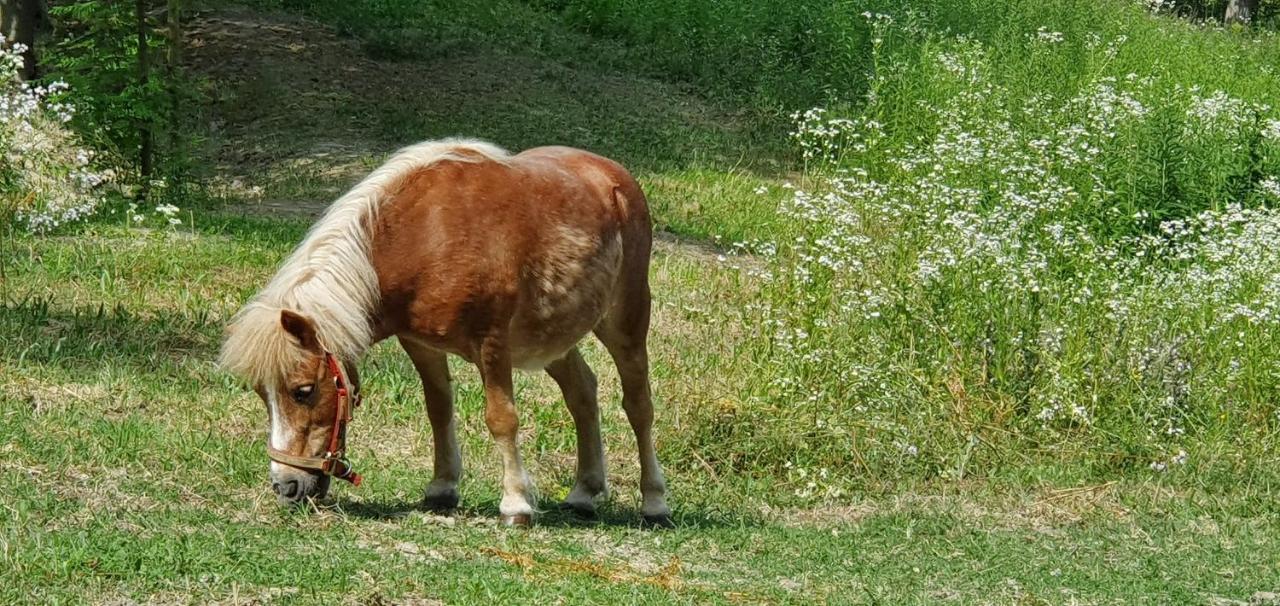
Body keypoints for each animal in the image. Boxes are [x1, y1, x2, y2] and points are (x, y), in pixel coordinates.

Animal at [217, 137, 680, 525]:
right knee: (582, 392)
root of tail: (614, 176)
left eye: (303, 391)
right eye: (262, 394)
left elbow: (502, 419)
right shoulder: (420, 344)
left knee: (639, 405)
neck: (424, 236)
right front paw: (442, 488)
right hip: (553, 338)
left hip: (624, 322)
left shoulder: (492, 344)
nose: (286, 486)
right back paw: (585, 491)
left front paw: (515, 504)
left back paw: (654, 501)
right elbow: (438, 409)